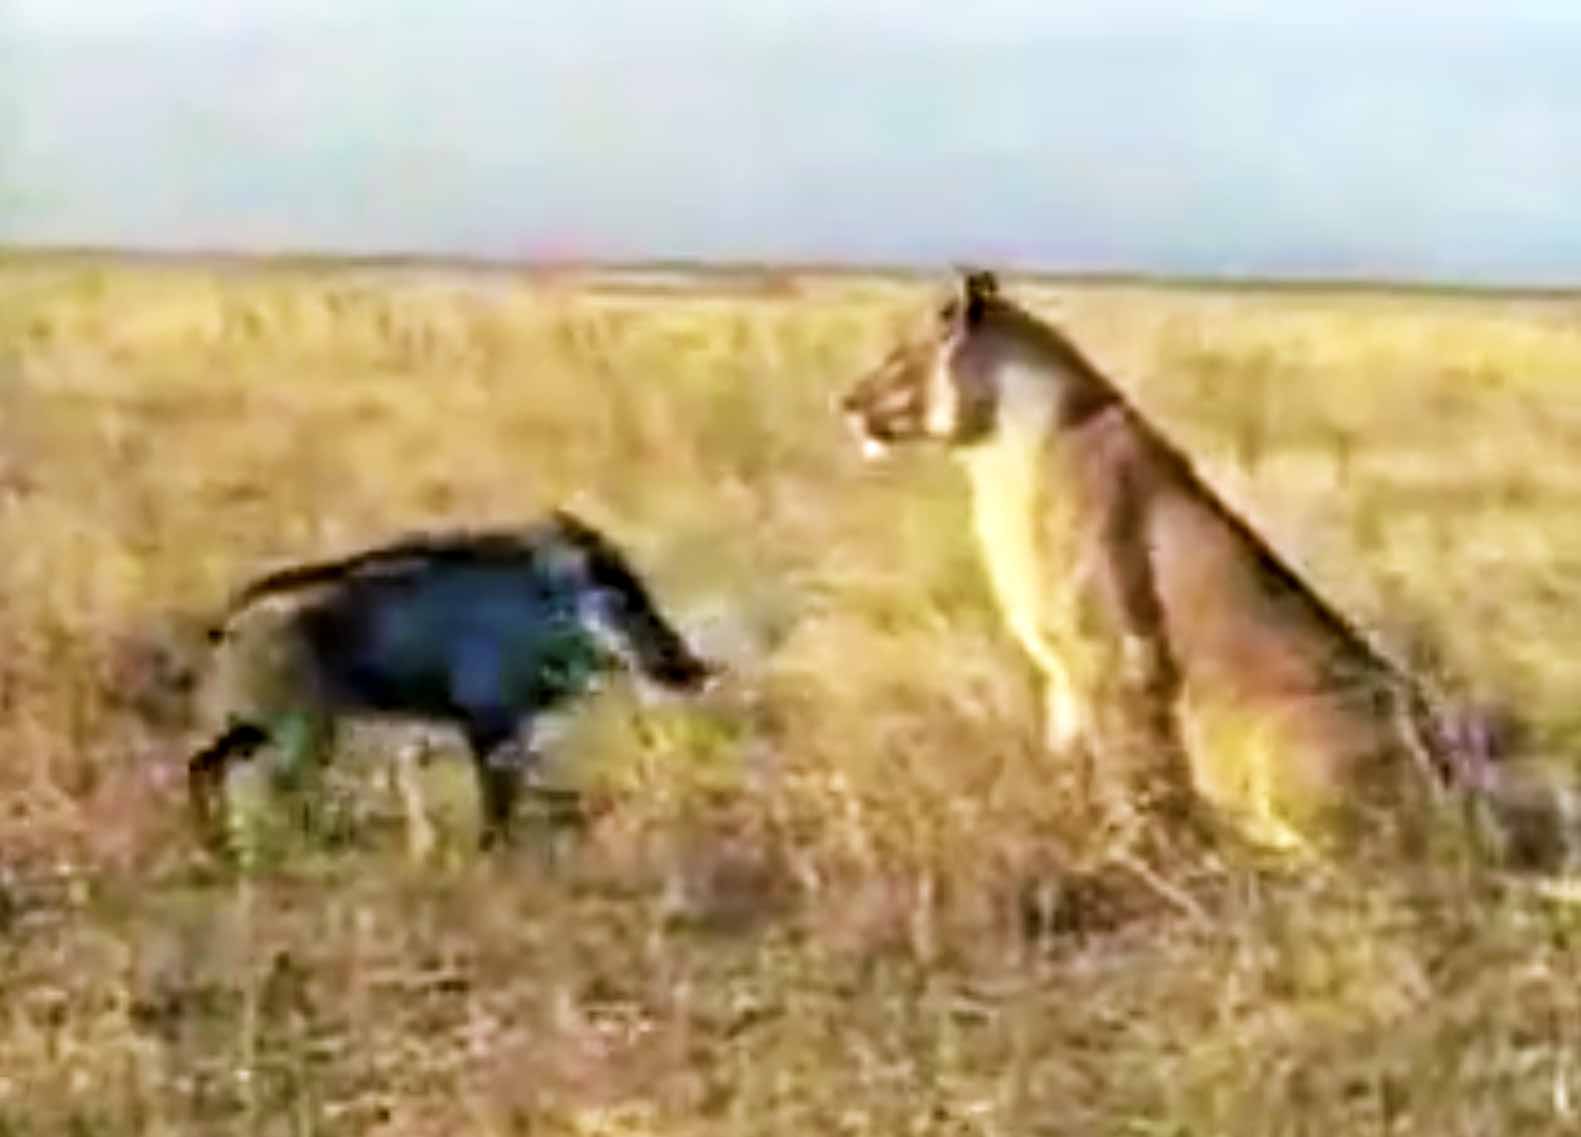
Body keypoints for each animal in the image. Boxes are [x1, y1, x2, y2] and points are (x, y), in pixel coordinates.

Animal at [838, 269, 1504, 857]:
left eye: (900, 356)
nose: (846, 401)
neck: (995, 446)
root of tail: (1456, 788)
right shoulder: (1062, 672)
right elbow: (1065, 757)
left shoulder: (1114, 660)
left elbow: (1125, 778)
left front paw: (1124, 851)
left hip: (1272, 728)